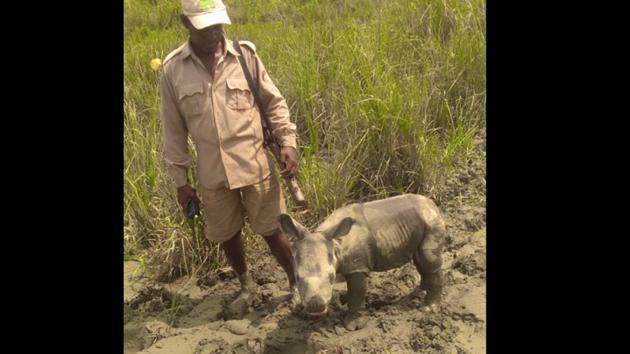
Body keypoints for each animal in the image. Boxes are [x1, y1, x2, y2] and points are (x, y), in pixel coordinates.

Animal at [278, 194, 446, 330]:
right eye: (297, 277)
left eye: (331, 277)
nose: (315, 306)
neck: (335, 243)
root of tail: (432, 203)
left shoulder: (357, 267)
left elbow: (356, 294)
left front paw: (353, 325)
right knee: (419, 259)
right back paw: (417, 293)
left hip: (431, 221)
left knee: (427, 259)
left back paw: (427, 309)